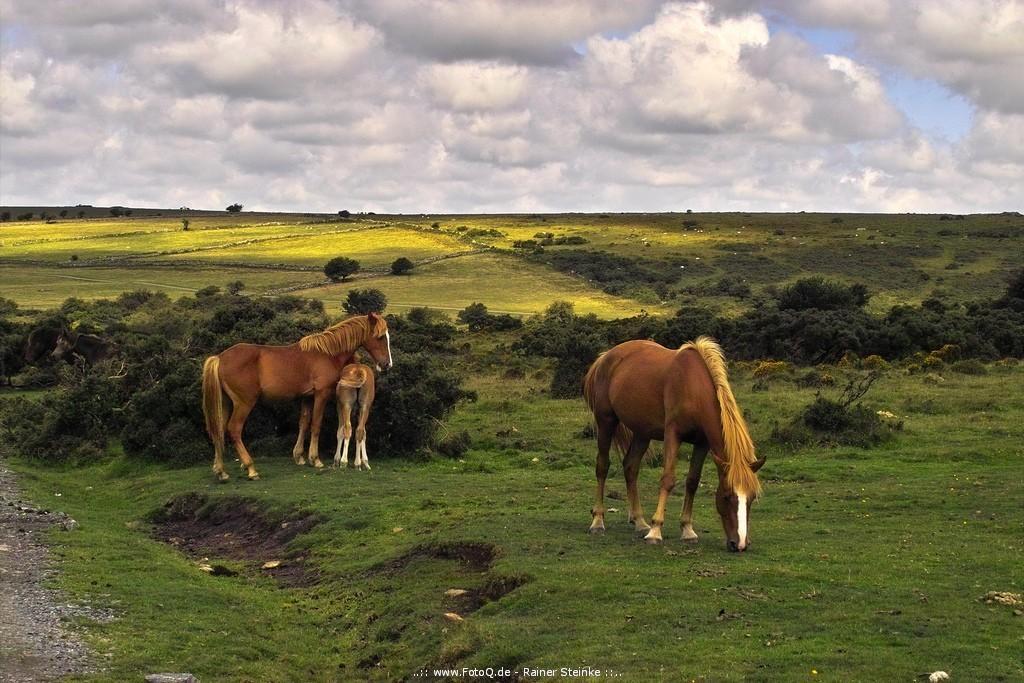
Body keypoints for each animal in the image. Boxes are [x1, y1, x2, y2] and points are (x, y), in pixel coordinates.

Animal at [201, 313, 393, 481]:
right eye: (380, 337)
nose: (387, 365)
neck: (327, 353)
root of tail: (219, 358)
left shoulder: (306, 397)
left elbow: (304, 423)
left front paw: (299, 456)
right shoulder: (321, 394)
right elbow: (316, 425)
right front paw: (315, 459)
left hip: (225, 402)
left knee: (219, 429)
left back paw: (221, 471)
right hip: (244, 403)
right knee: (234, 429)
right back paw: (251, 468)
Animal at [581, 339, 765, 552]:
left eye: (751, 498)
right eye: (727, 496)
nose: (740, 543)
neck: (693, 388)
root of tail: (605, 357)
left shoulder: (702, 443)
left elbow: (692, 482)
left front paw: (687, 530)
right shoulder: (672, 435)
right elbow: (668, 480)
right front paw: (655, 531)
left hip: (642, 433)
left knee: (631, 467)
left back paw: (639, 521)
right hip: (606, 421)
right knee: (602, 466)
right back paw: (598, 521)